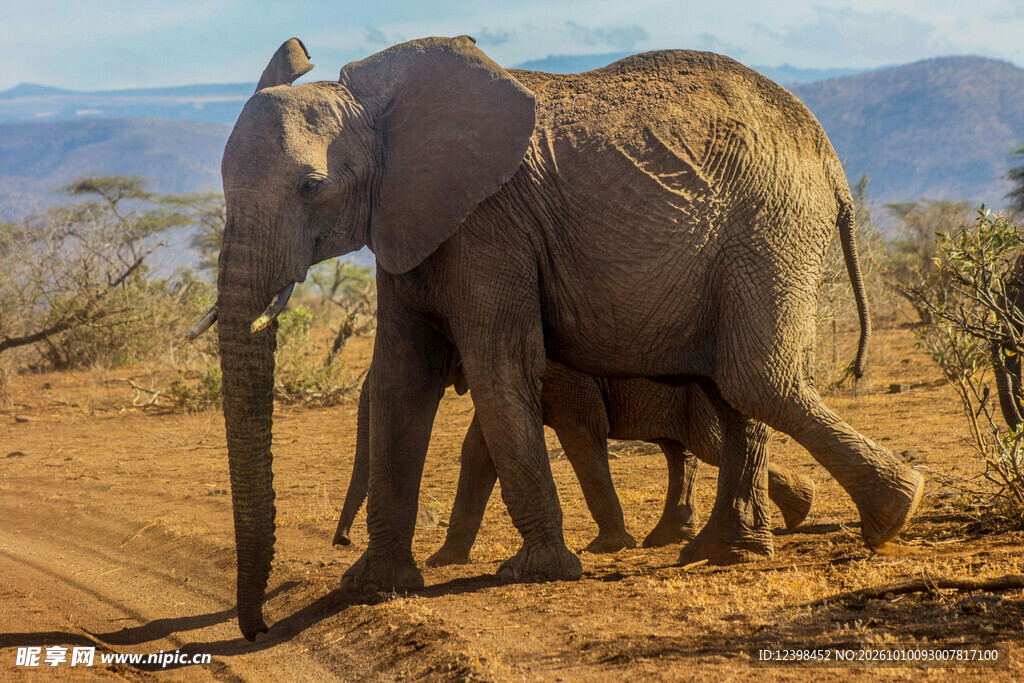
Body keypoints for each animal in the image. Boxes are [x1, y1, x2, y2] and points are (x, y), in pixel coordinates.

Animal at [333, 360, 817, 562]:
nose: (342, 541)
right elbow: (479, 451)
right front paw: (443, 561)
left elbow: (581, 434)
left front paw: (607, 547)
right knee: (682, 450)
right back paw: (667, 537)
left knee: (709, 447)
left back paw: (801, 507)